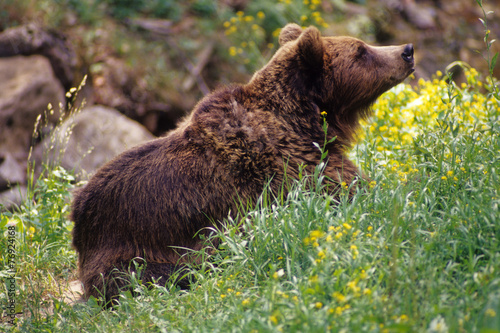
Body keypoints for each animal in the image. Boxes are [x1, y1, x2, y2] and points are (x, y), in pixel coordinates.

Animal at [70, 23, 414, 304]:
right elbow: (348, 192)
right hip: (133, 248)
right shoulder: (286, 170)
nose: (407, 50)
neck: (306, 123)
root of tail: (78, 218)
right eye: (361, 50)